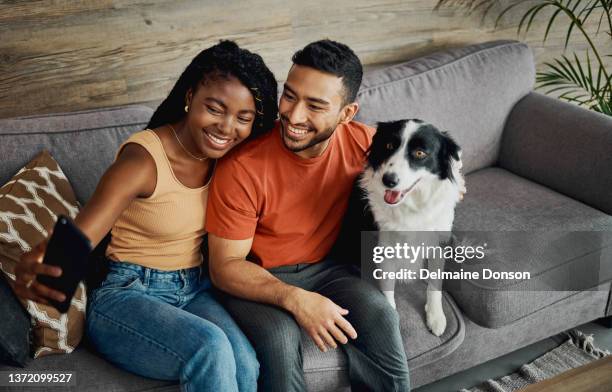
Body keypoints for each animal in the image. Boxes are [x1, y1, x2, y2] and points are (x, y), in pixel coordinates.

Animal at [334, 118, 464, 336]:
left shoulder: (438, 241)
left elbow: (435, 283)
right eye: (388, 146)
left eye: (420, 153)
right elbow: (387, 291)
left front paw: (436, 316)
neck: (411, 206)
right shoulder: (384, 247)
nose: (388, 180)